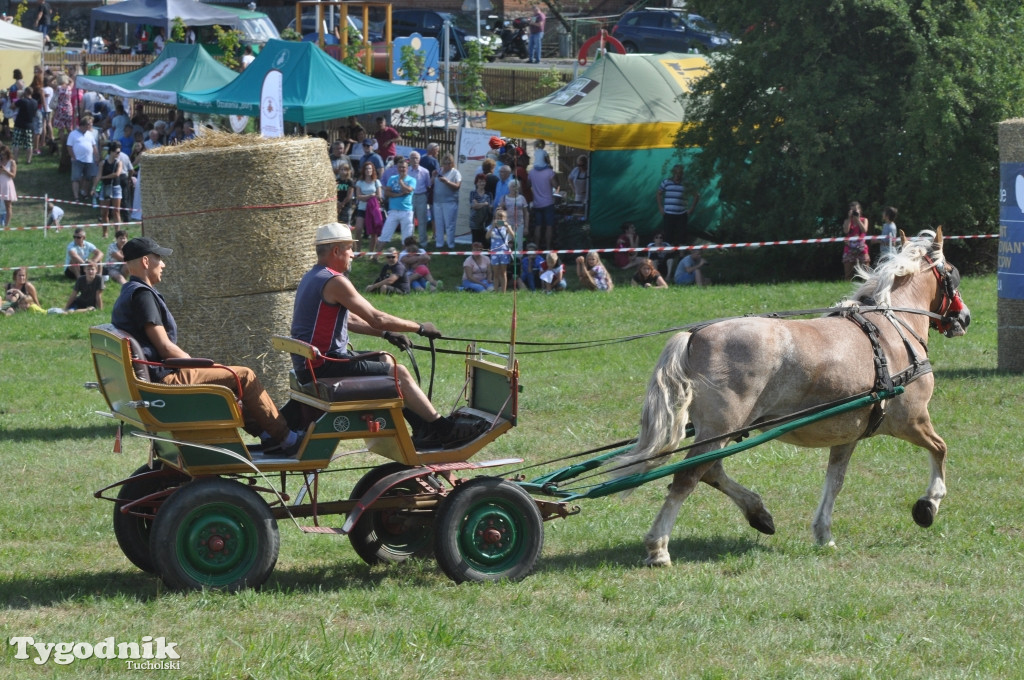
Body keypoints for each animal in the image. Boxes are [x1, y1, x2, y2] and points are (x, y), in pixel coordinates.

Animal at [610, 228, 970, 569]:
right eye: (952, 272)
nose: (964, 318)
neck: (892, 330)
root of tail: (696, 334)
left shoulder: (847, 434)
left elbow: (834, 482)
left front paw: (823, 533)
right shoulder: (913, 420)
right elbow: (940, 449)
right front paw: (928, 504)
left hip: (718, 431)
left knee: (710, 471)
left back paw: (758, 513)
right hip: (720, 429)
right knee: (687, 477)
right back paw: (658, 547)